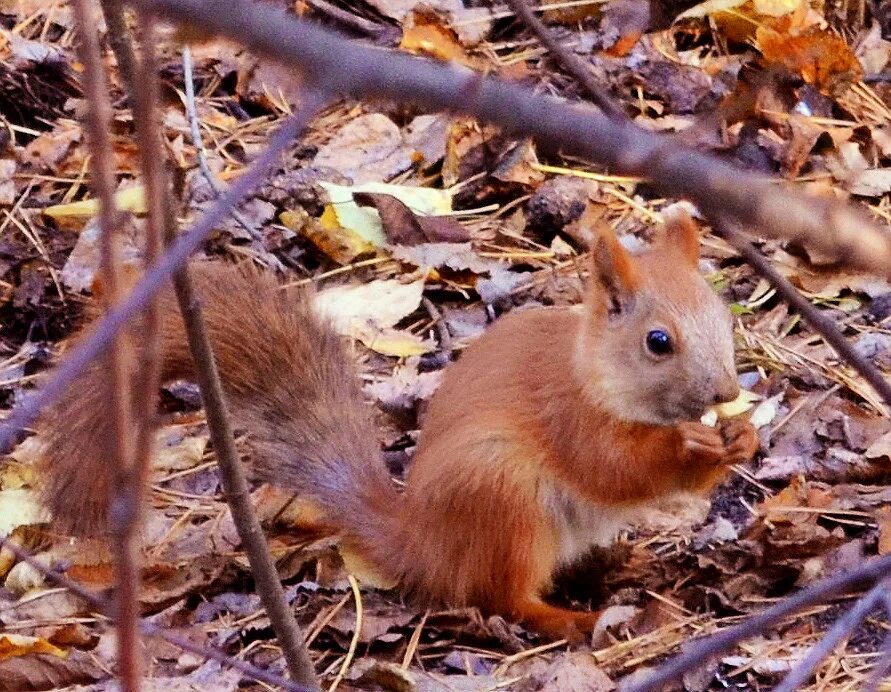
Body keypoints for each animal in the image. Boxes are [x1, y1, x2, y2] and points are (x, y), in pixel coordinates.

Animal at [36, 212, 760, 644]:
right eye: (658, 342)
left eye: (722, 315)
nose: (725, 393)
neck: (594, 372)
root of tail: (423, 542)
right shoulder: (569, 415)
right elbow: (613, 466)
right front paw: (690, 444)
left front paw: (740, 438)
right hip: (502, 494)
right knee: (499, 596)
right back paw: (568, 617)